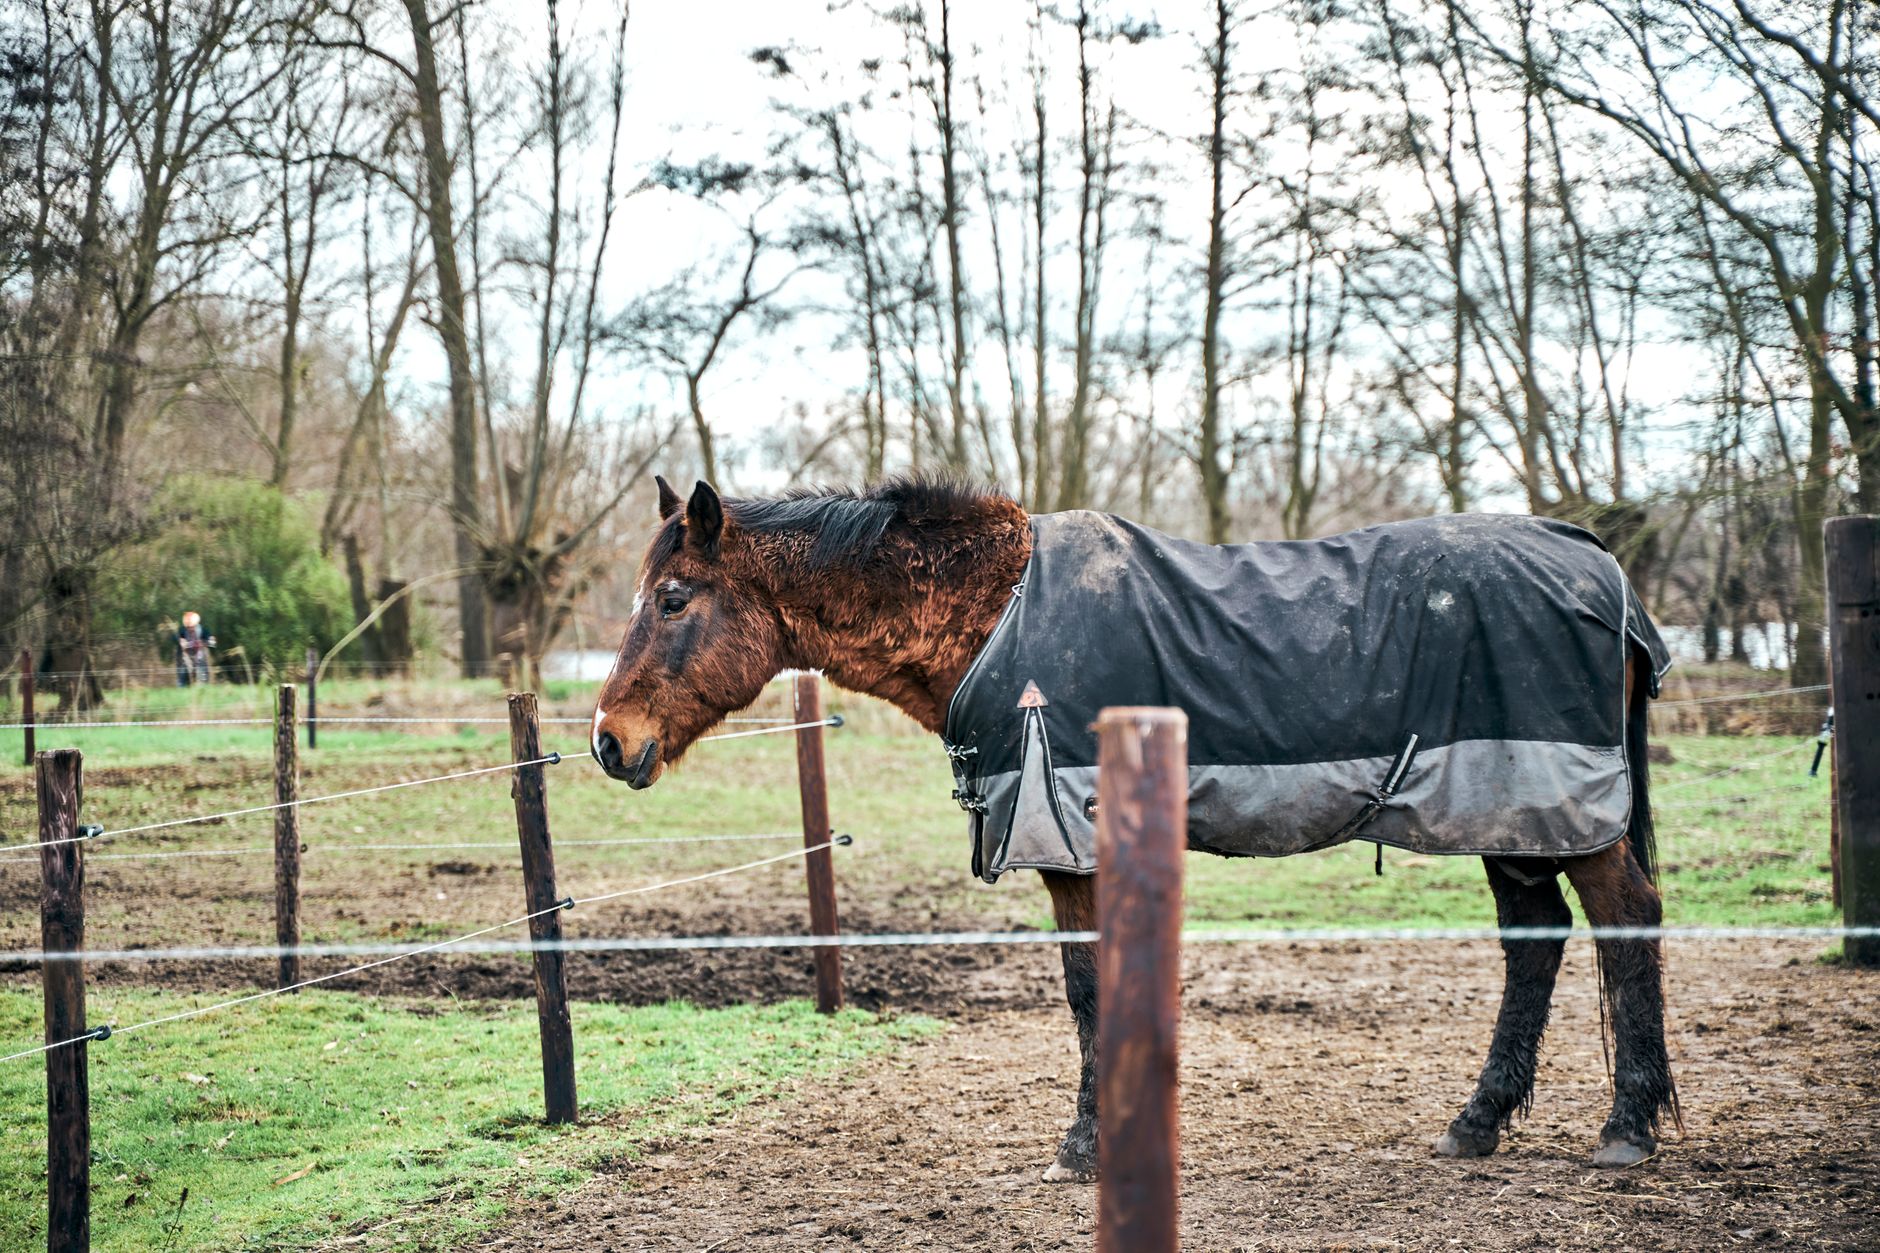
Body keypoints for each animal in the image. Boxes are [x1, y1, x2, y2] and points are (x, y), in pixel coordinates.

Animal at [590, 475, 1677, 1182]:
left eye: (674, 599)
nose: (608, 739)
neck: (994, 615)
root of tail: (1602, 572)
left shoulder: (1068, 841)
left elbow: (1085, 988)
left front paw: (1085, 1147)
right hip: (1512, 807)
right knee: (1535, 940)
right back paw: (1478, 1120)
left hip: (1560, 811)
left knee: (1625, 920)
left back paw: (1625, 1127)